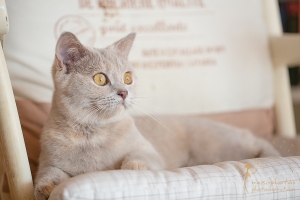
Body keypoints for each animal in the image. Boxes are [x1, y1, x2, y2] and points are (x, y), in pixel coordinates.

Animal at [34, 32, 280, 199]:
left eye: (127, 77)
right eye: (100, 79)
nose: (124, 92)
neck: (91, 134)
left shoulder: (147, 151)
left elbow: (134, 161)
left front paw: (127, 173)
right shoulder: (46, 160)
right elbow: (45, 177)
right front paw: (48, 188)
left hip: (222, 145)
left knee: (256, 143)